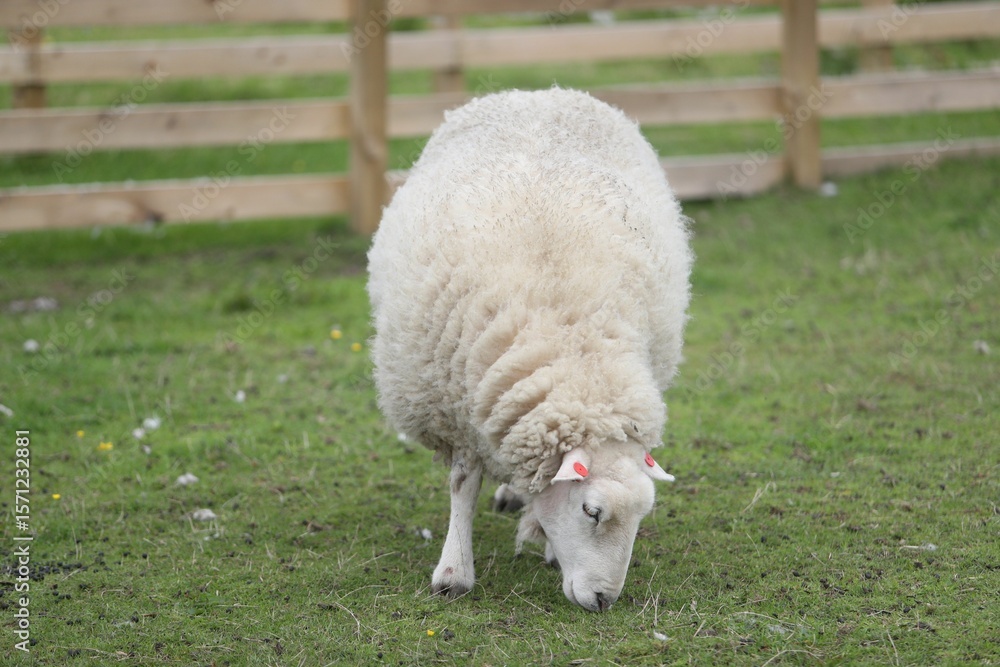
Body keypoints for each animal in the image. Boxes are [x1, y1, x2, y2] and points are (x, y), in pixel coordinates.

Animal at [367, 88, 692, 612]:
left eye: (644, 513)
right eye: (592, 511)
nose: (604, 600)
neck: (573, 351)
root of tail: (537, 92)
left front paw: (542, 534)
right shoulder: (455, 407)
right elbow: (463, 485)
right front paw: (453, 571)